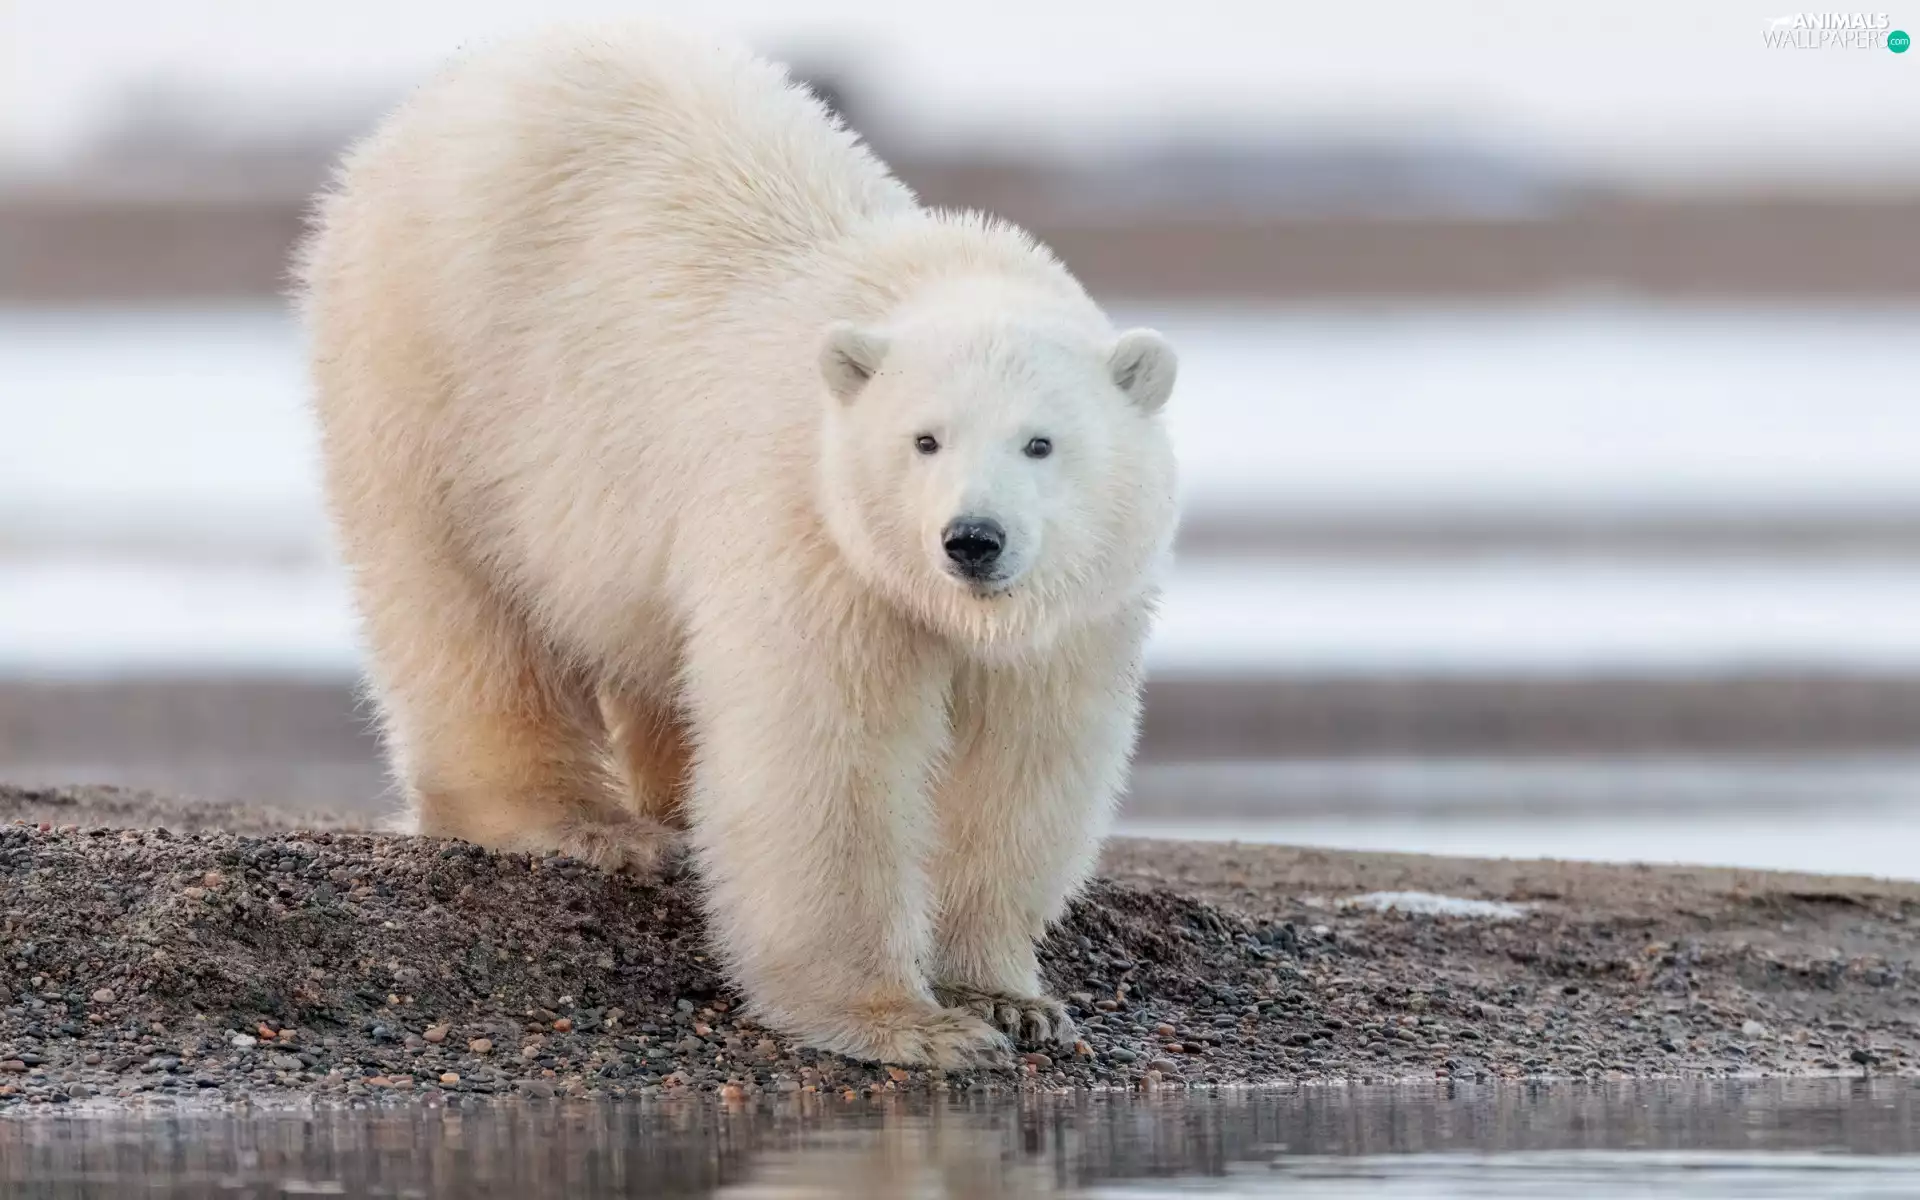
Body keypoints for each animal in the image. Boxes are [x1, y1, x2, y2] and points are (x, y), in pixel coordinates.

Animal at [296, 23, 1179, 1067]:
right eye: (924, 439)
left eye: (1041, 443)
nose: (973, 539)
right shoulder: (809, 532)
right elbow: (822, 759)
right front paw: (905, 1022)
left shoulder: (1074, 617)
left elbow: (1020, 766)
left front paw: (1007, 998)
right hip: (434, 373)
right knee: (465, 614)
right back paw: (585, 826)